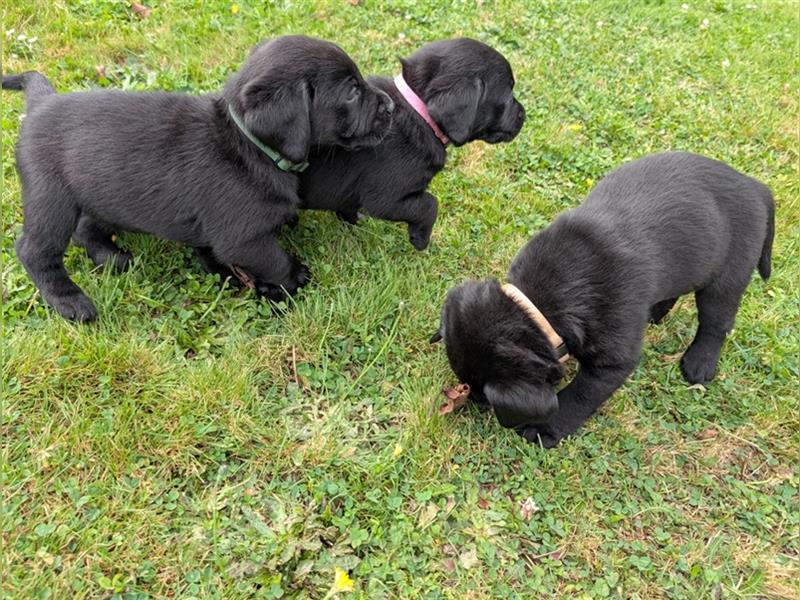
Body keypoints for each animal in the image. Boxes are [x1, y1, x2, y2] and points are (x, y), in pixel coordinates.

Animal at [2, 35, 394, 322]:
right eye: (351, 91)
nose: (391, 105)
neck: (246, 144)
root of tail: (40, 105)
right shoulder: (244, 239)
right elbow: (274, 258)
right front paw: (294, 278)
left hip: (102, 195)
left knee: (86, 229)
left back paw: (112, 257)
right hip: (51, 199)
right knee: (34, 251)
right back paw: (69, 300)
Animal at [300, 37, 524, 250]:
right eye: (507, 95)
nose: (524, 114)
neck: (419, 112)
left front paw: (354, 220)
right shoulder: (385, 198)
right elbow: (430, 204)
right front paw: (421, 238)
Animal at [432, 152, 776, 448]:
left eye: (484, 396)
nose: (473, 400)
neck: (544, 302)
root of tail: (754, 185)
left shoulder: (612, 362)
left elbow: (582, 394)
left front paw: (547, 427)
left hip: (728, 276)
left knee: (716, 322)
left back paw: (699, 363)